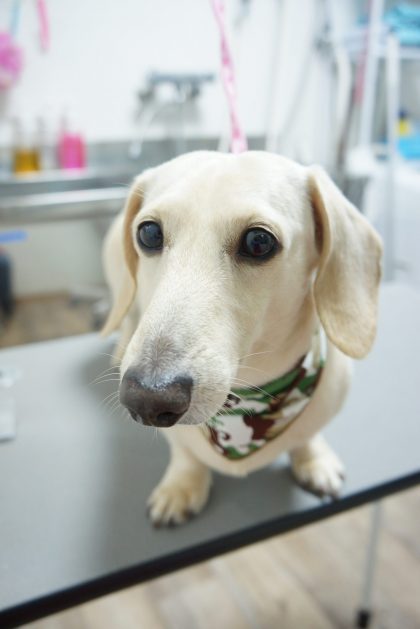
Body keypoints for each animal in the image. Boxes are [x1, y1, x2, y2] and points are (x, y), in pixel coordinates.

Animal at [102, 151, 382, 526]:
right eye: (149, 233)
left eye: (258, 241)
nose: (147, 399)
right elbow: (185, 453)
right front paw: (181, 485)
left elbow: (307, 436)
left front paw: (313, 460)